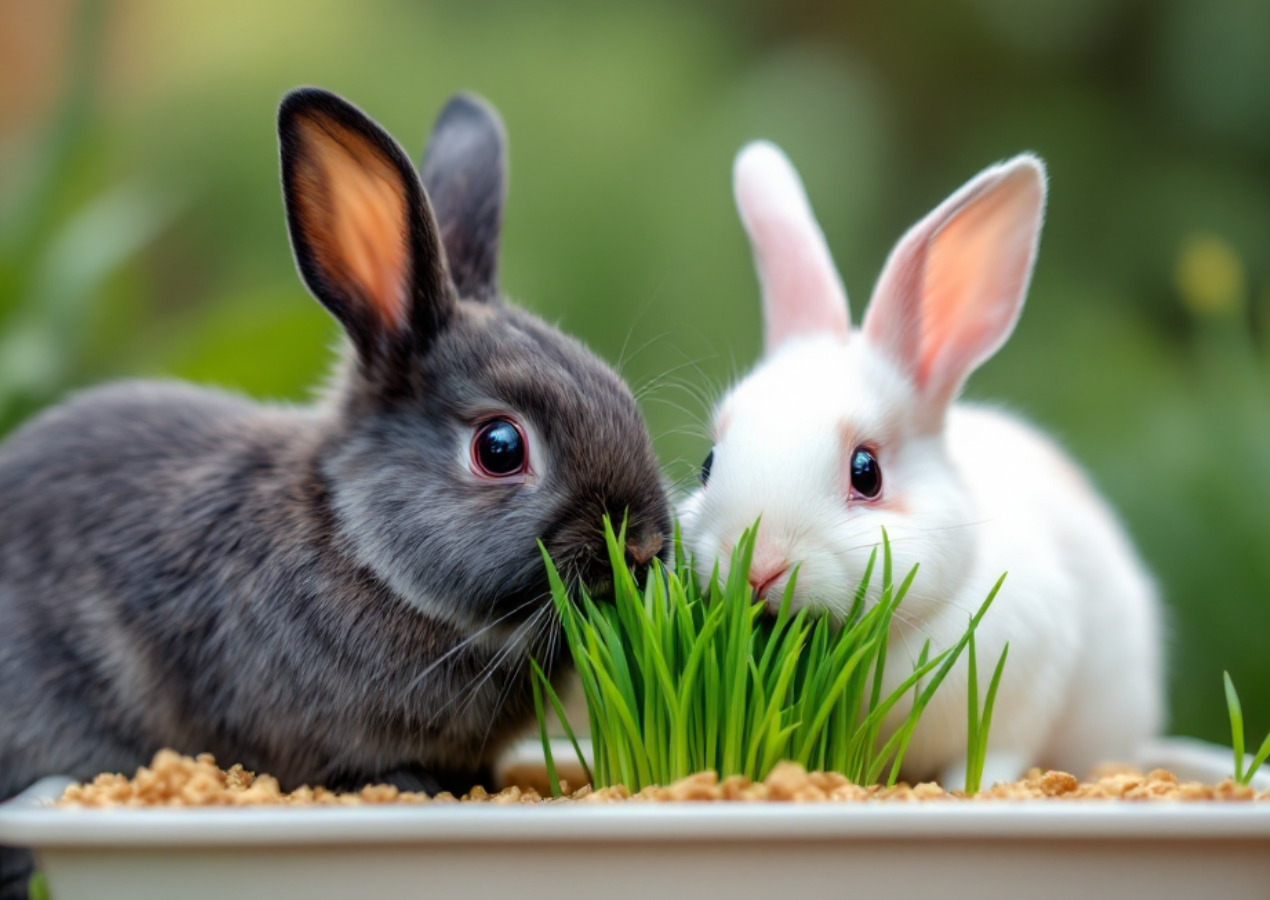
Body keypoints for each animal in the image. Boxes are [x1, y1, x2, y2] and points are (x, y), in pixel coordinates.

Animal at [679, 141, 1164, 789]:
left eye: (866, 473)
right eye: (708, 464)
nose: (758, 568)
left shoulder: (1018, 701)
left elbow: (993, 757)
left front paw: (968, 791)